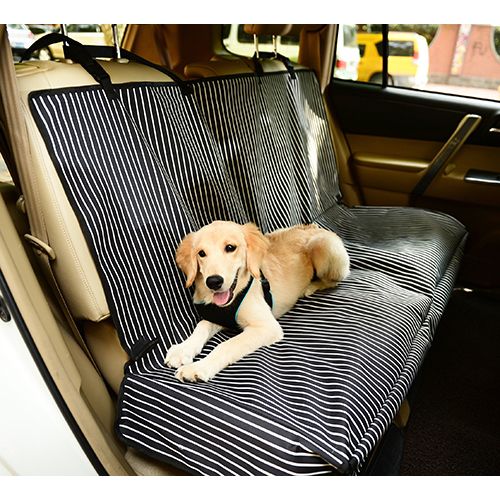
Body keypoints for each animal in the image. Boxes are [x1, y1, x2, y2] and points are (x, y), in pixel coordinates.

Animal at [165, 221, 350, 382]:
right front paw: (182, 349)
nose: (213, 282)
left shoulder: (266, 327)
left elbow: (227, 345)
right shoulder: (218, 316)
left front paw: (198, 367)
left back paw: (311, 286)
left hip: (323, 245)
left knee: (335, 280)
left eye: (230, 247)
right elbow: (201, 326)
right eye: (201, 253)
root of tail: (312, 226)